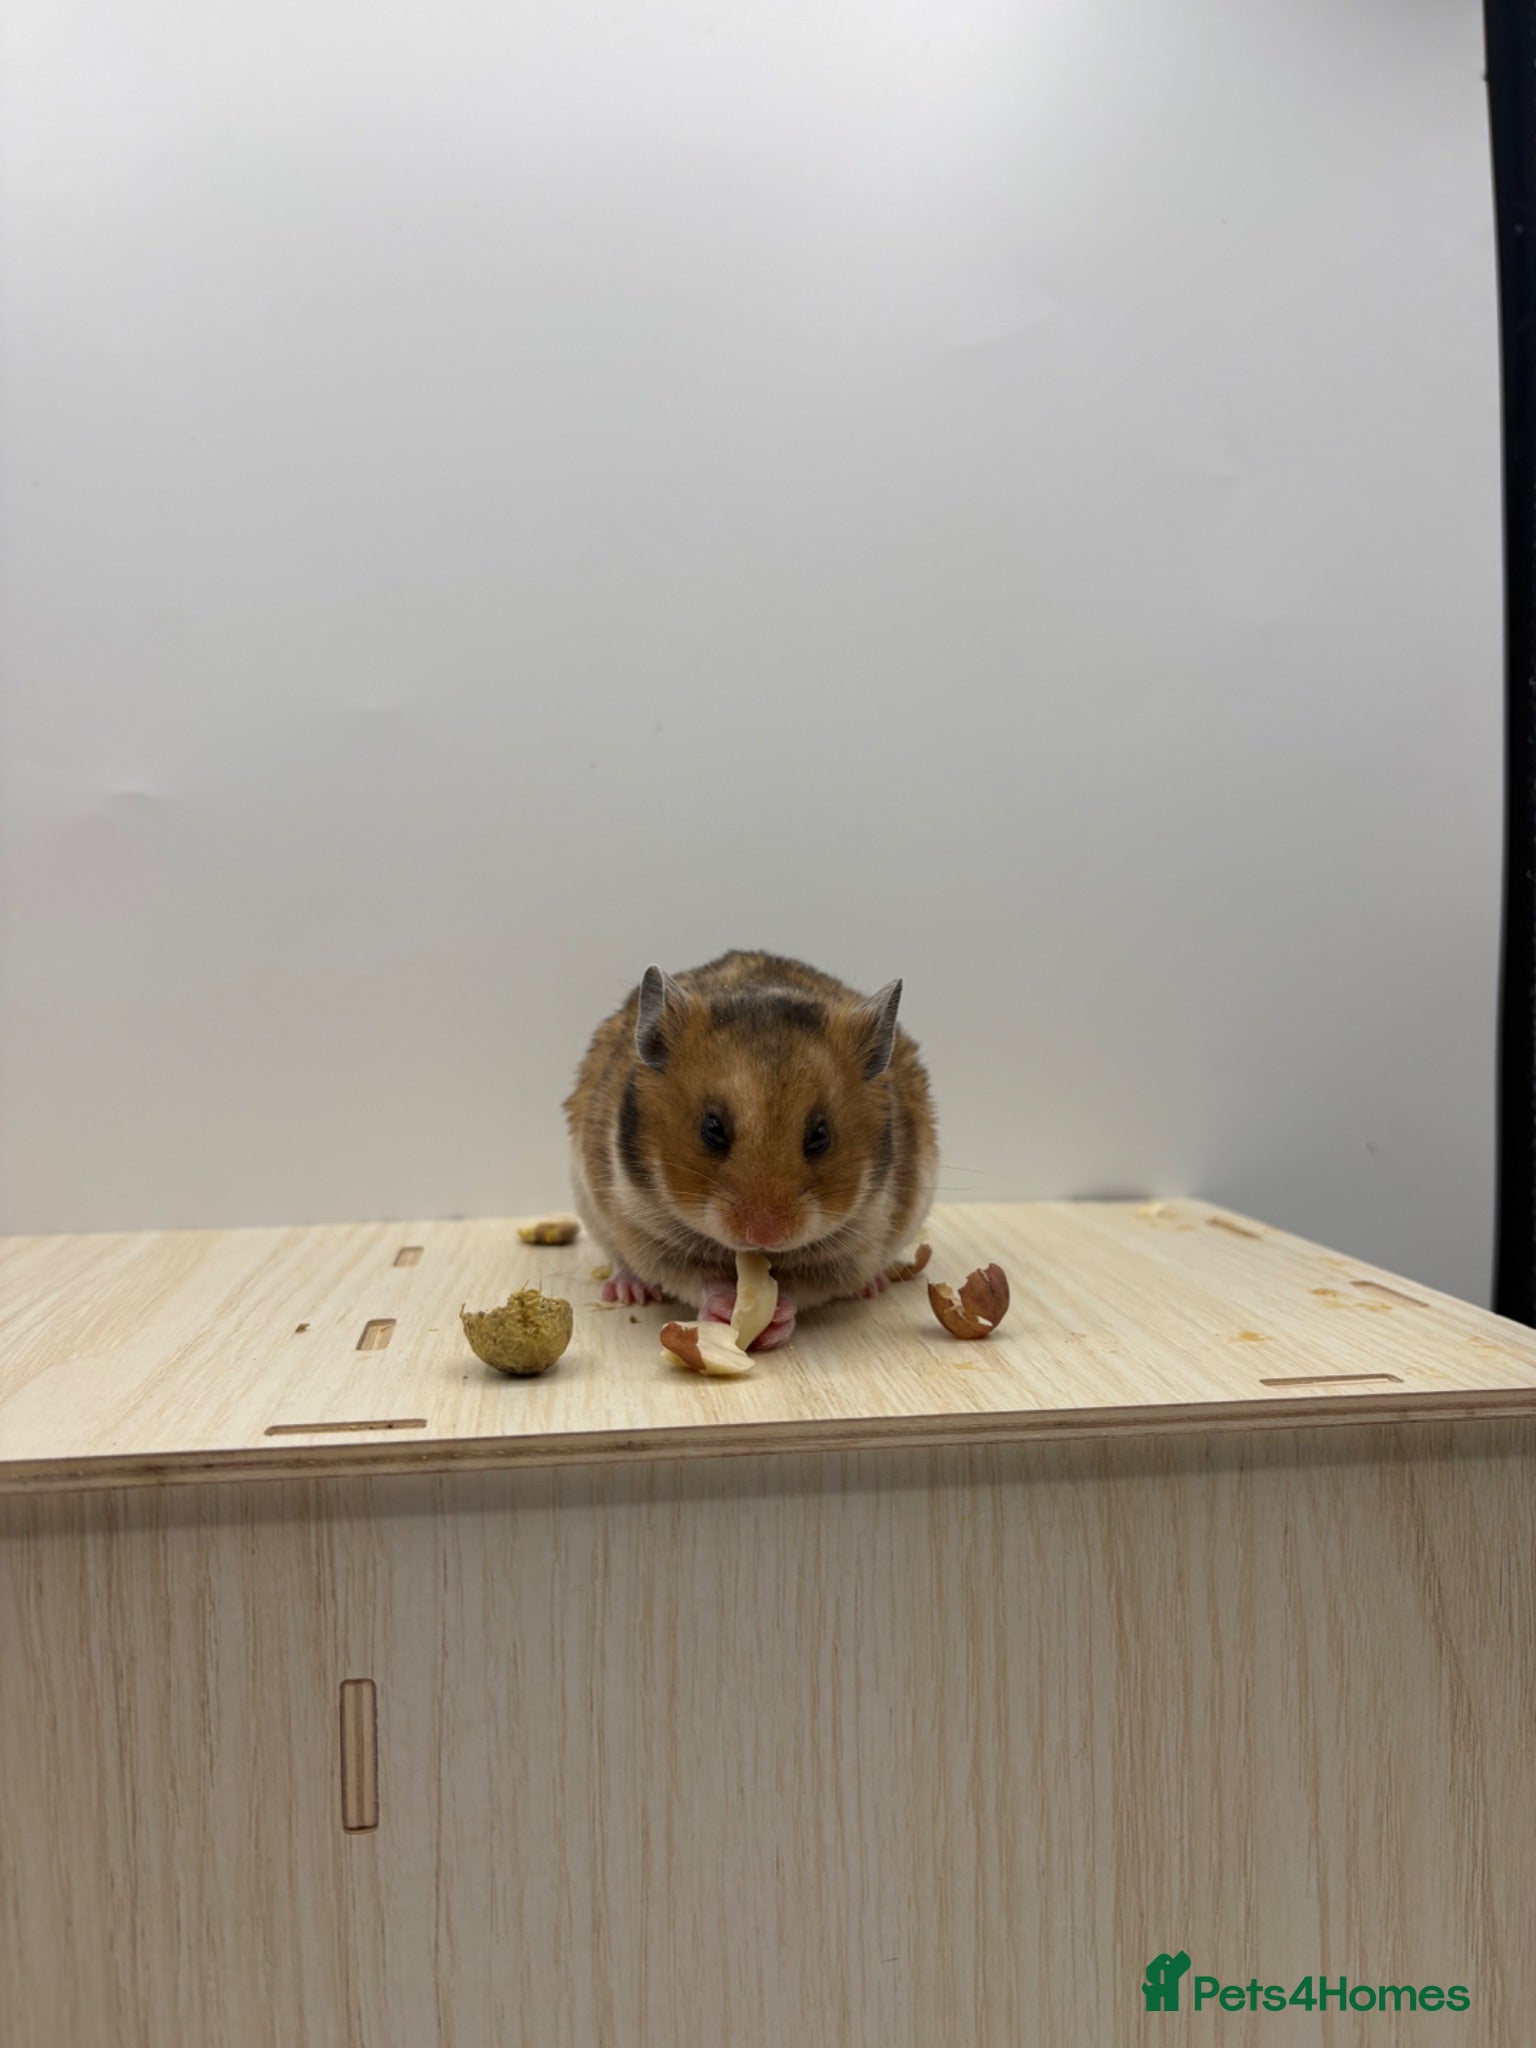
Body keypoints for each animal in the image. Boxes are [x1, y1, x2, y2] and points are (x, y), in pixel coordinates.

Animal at [564, 950, 938, 1351]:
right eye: (712, 1129)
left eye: (820, 1136)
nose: (764, 1237)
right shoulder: (649, 1231)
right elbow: (700, 1279)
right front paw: (727, 1310)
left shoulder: (851, 1247)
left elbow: (801, 1289)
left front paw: (775, 1318)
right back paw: (626, 1291)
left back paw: (874, 1286)